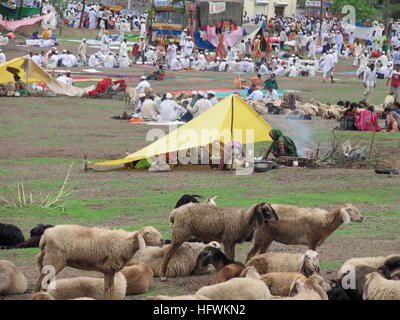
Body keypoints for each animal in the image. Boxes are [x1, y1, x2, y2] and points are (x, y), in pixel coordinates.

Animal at [34, 225, 164, 300]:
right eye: (147, 233)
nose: (163, 240)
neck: (126, 243)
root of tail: (46, 234)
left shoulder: (107, 270)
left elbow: (108, 291)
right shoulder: (111, 268)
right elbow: (110, 291)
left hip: (45, 260)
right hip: (53, 261)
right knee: (40, 283)